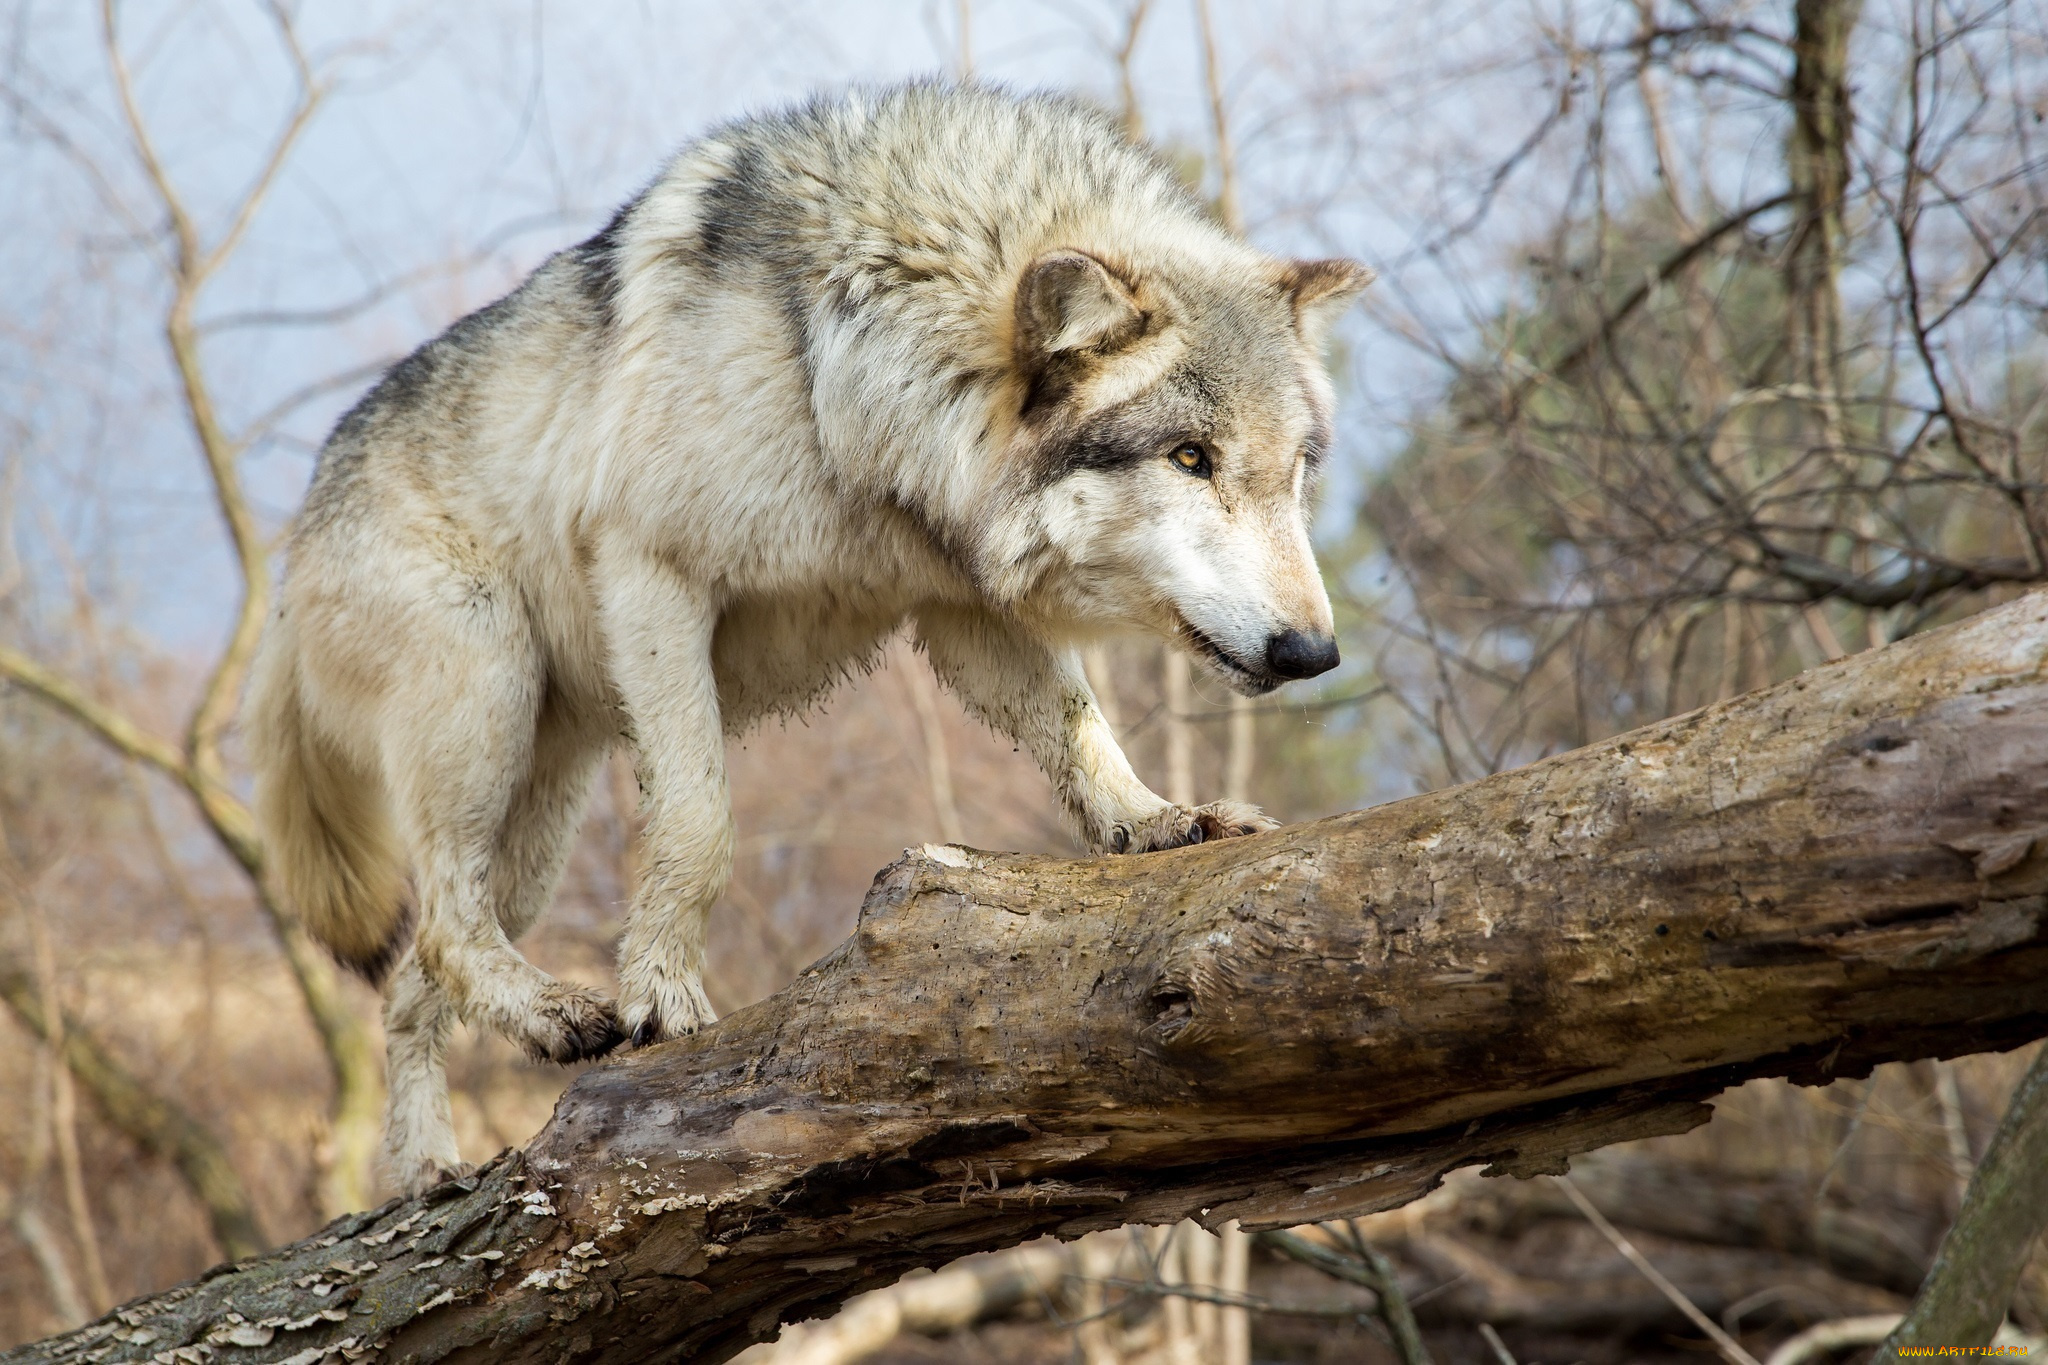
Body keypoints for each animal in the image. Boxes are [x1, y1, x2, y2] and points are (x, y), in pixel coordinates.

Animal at [247, 85, 1376, 1195]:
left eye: (1293, 471)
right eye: (1190, 457)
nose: (1313, 654)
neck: (842, 369)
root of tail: (288, 559)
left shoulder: (963, 611)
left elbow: (1077, 725)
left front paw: (1156, 821)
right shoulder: (654, 574)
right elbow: (699, 822)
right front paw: (661, 995)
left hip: (534, 826)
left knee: (412, 978)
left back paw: (426, 1171)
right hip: (486, 699)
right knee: (439, 923)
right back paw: (548, 1022)